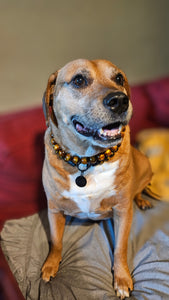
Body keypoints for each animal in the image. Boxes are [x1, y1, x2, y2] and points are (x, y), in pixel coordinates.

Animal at [41, 58, 153, 298]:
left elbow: (120, 248)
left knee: (139, 189)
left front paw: (122, 279)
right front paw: (51, 265)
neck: (86, 161)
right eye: (78, 80)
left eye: (118, 78)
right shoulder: (53, 209)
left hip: (145, 164)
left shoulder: (122, 211)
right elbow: (55, 241)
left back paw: (142, 200)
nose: (120, 100)